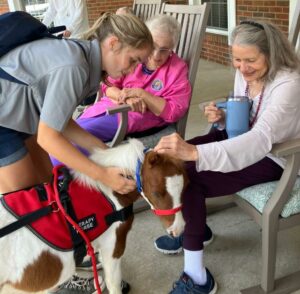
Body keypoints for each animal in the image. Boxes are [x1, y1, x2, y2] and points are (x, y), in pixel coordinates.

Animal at [0, 138, 188, 294]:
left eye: (185, 188)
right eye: (156, 193)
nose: (178, 229)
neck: (107, 192)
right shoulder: (113, 246)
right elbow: (113, 284)